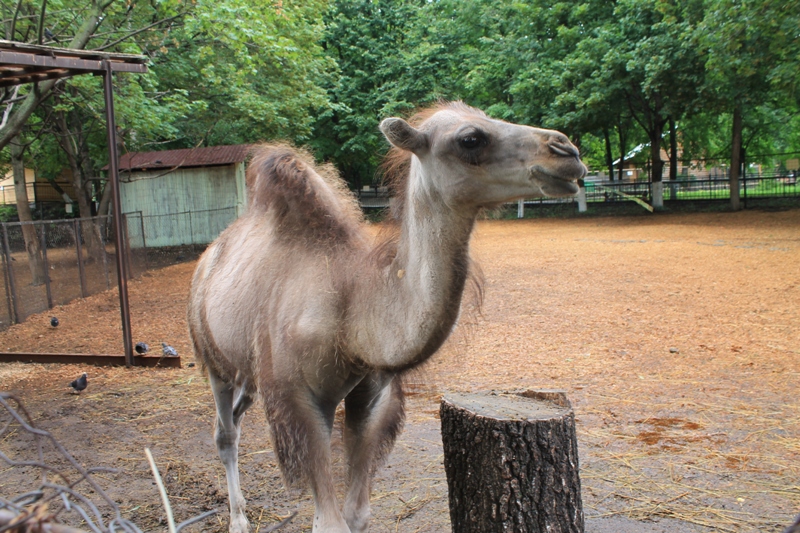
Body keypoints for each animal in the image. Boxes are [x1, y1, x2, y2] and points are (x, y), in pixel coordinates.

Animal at [188, 101, 588, 532]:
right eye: (470, 138)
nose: (566, 151)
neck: (353, 316)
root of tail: (207, 256)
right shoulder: (294, 397)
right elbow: (330, 521)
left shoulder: (373, 394)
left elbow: (357, 514)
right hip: (211, 354)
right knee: (225, 434)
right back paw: (238, 519)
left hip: (250, 371)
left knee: (238, 415)